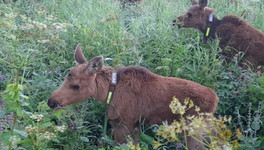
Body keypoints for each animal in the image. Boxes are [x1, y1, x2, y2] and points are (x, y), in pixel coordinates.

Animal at [47, 43, 219, 149]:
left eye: (76, 86)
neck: (109, 92)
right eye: (65, 78)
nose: (51, 101)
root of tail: (215, 100)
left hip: (193, 129)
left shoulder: (123, 125)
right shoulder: (135, 127)